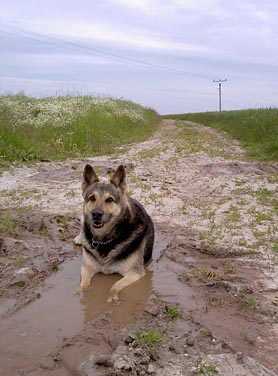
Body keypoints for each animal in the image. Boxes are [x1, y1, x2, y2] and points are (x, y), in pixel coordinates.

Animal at [75, 164, 154, 302]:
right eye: (92, 198)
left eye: (109, 200)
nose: (96, 214)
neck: (104, 240)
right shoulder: (86, 267)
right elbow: (83, 286)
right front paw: (78, 294)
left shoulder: (134, 273)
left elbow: (114, 286)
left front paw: (113, 298)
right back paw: (79, 238)